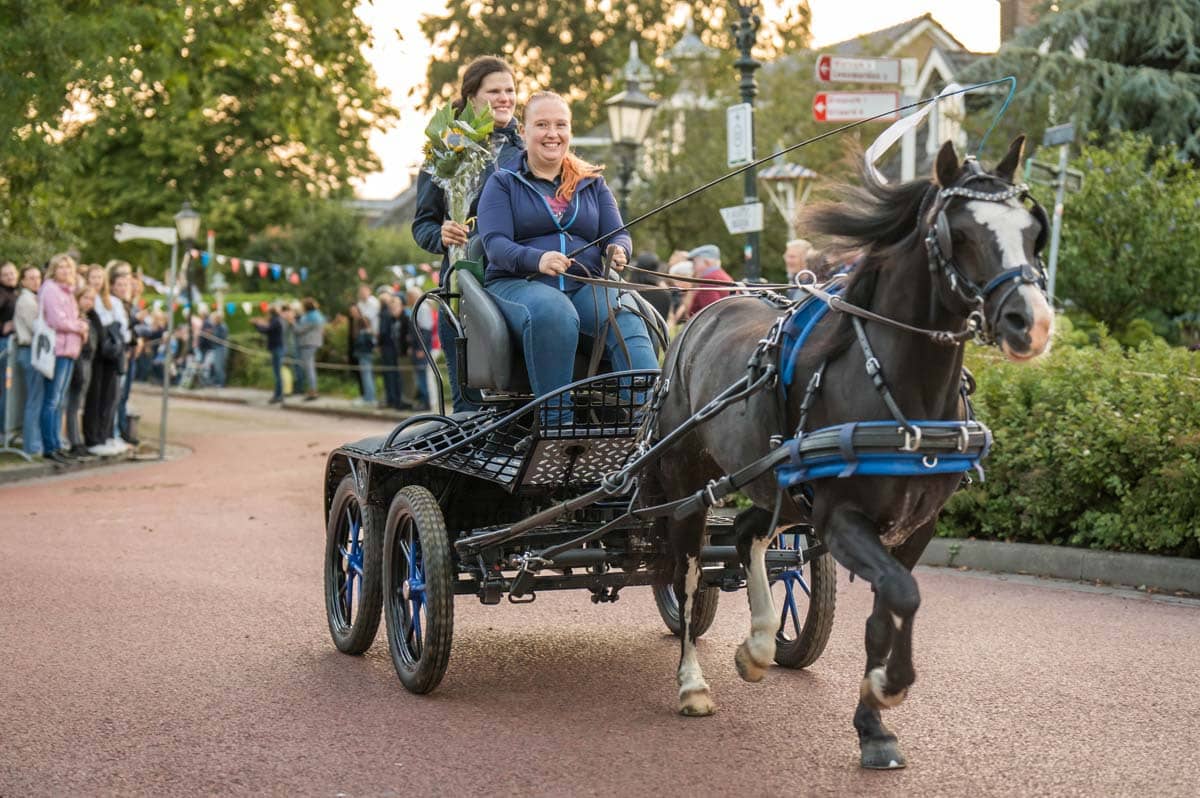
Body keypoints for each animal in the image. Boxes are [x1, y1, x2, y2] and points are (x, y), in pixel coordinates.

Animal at [648, 136, 1051, 768]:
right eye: (960, 233)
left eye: (1033, 232)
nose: (1031, 323)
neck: (901, 390)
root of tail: (702, 314)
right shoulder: (840, 520)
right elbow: (902, 595)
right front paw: (889, 689)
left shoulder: (914, 527)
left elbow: (889, 610)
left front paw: (874, 725)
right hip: (689, 486)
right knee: (686, 574)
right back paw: (692, 683)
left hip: (779, 486)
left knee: (746, 534)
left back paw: (759, 646)